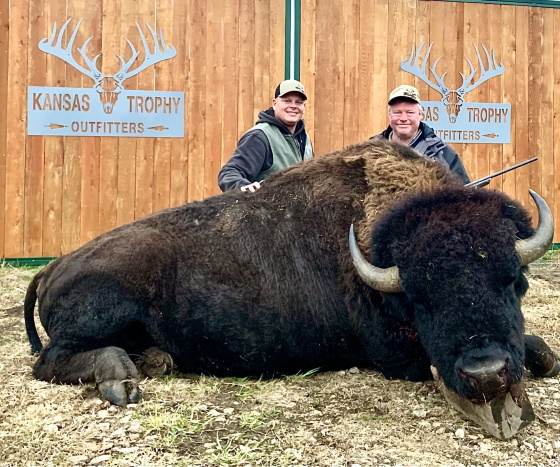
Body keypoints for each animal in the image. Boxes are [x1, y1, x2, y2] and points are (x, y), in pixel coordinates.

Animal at [26, 139, 560, 410]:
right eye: (419, 297)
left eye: (511, 280)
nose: (485, 373)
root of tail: (54, 265)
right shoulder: (393, 354)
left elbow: (538, 349)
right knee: (50, 362)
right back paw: (121, 381)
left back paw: (155, 361)